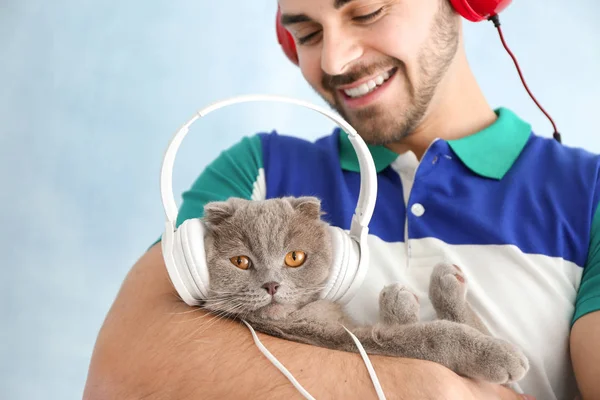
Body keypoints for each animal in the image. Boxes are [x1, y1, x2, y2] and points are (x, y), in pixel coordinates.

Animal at [198, 197, 528, 384]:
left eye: (294, 257)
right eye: (241, 261)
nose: (271, 284)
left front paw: (441, 286)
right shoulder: (347, 339)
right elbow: (430, 337)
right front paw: (500, 356)